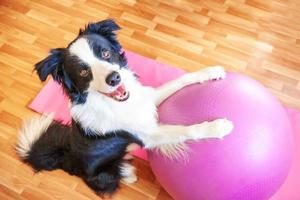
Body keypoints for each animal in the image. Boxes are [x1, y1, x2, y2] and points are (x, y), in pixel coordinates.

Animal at [16, 19, 233, 195]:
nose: (114, 78)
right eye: (84, 72)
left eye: (105, 53)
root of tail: (68, 160)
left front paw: (210, 72)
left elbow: (181, 79)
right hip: (104, 173)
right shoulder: (149, 135)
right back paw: (130, 176)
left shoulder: (147, 99)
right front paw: (217, 127)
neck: (116, 104)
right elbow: (186, 130)